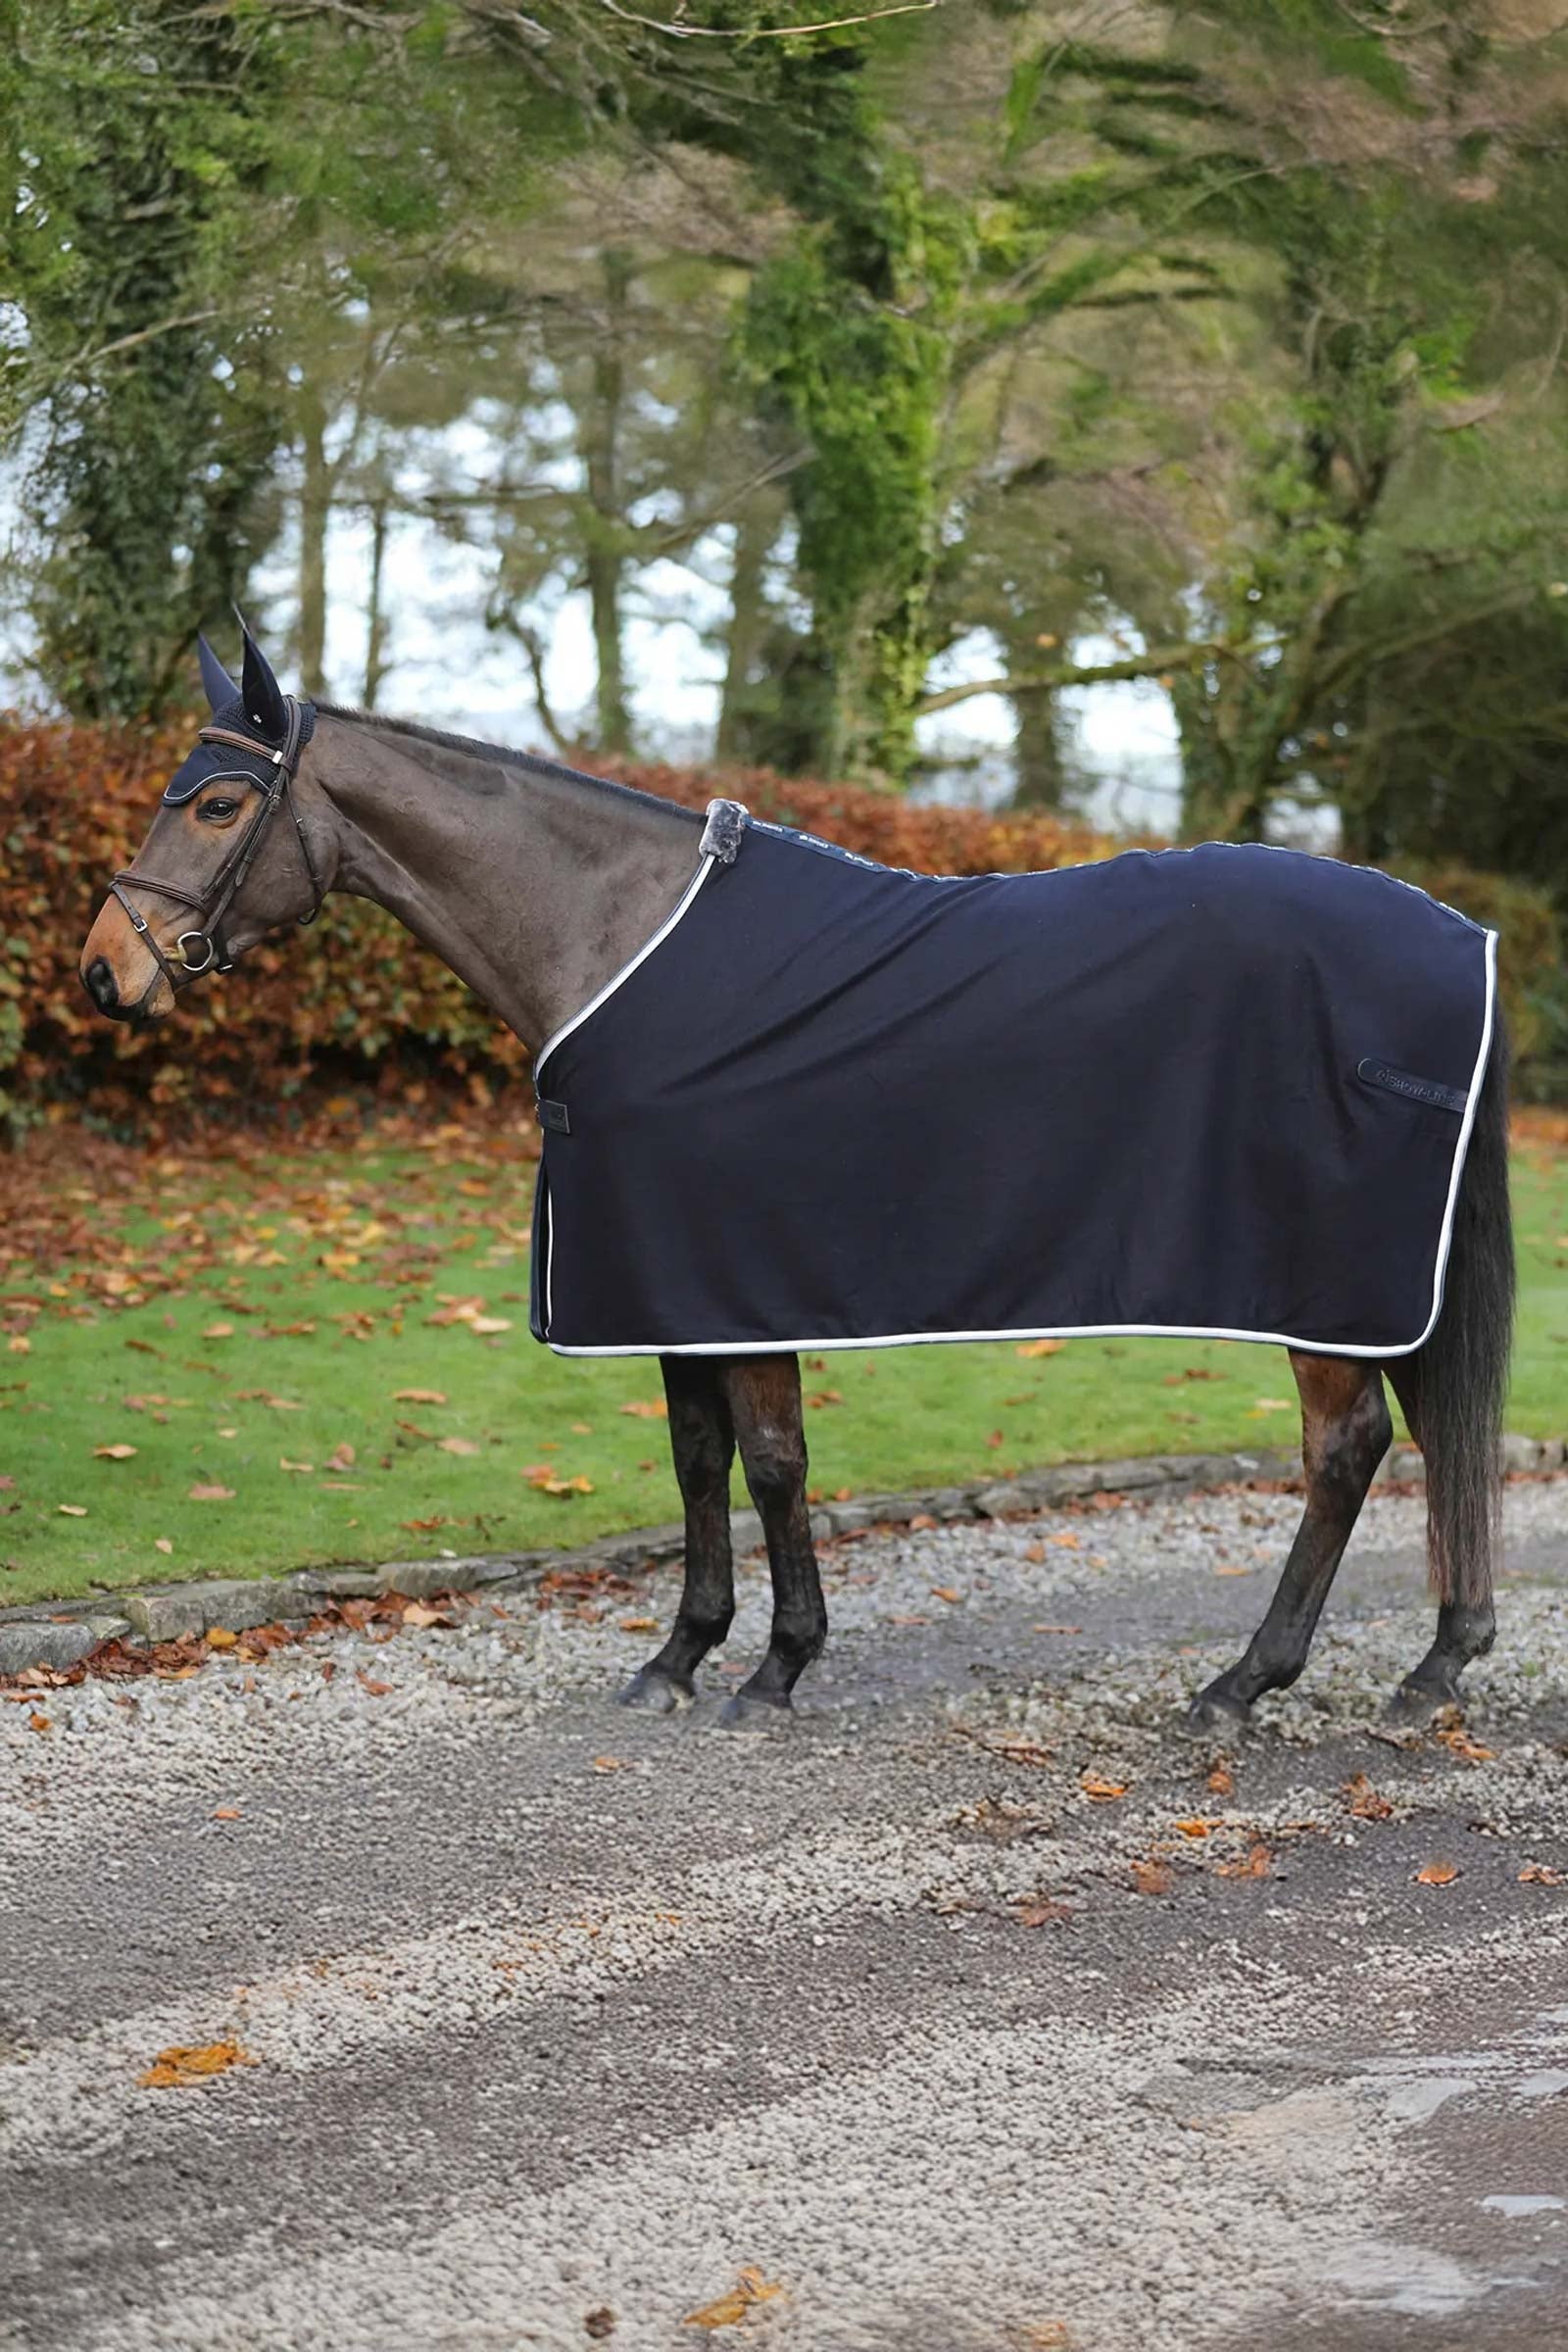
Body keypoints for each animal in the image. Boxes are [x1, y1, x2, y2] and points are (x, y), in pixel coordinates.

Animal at [79, 625, 1515, 1733]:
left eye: (217, 803)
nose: (106, 971)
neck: (617, 940)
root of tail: (1462, 937)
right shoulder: (665, 1287)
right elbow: (694, 1455)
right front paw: (679, 1656)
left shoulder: (727, 1272)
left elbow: (769, 1460)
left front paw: (775, 1670)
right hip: (1388, 1281)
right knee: (1432, 1426)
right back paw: (1434, 1670)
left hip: (1325, 1278)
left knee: (1346, 1448)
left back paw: (1243, 1684)